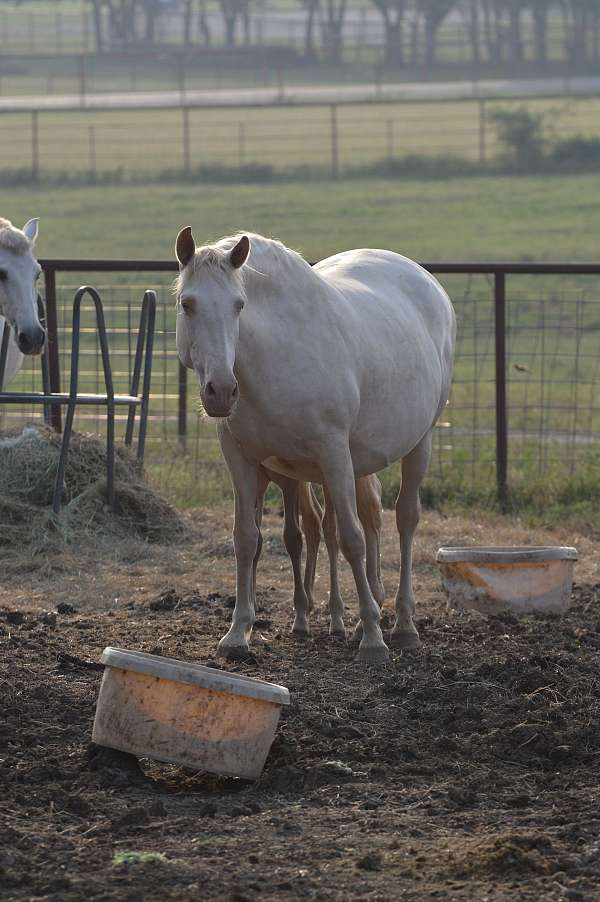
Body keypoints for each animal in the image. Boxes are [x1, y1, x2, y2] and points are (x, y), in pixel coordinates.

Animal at [173, 230, 454, 664]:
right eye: (188, 304)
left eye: (239, 305)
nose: (220, 391)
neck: (273, 359)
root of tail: (426, 280)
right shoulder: (242, 460)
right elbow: (246, 539)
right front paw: (237, 634)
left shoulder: (333, 453)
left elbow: (352, 540)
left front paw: (373, 640)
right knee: (369, 518)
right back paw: (362, 619)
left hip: (418, 443)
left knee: (404, 519)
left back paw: (402, 625)